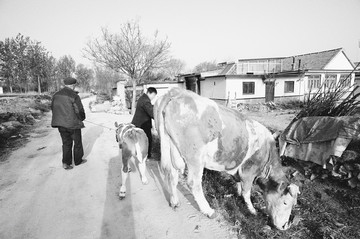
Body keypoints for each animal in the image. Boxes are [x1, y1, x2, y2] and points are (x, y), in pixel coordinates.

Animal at [153, 88, 300, 230]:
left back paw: (174, 202)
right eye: (285, 202)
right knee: (193, 183)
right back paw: (209, 211)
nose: (283, 226)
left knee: (171, 174)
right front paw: (252, 210)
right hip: (195, 156)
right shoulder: (249, 170)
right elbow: (247, 191)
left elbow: (239, 183)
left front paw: (238, 193)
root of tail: (175, 92)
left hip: (169, 147)